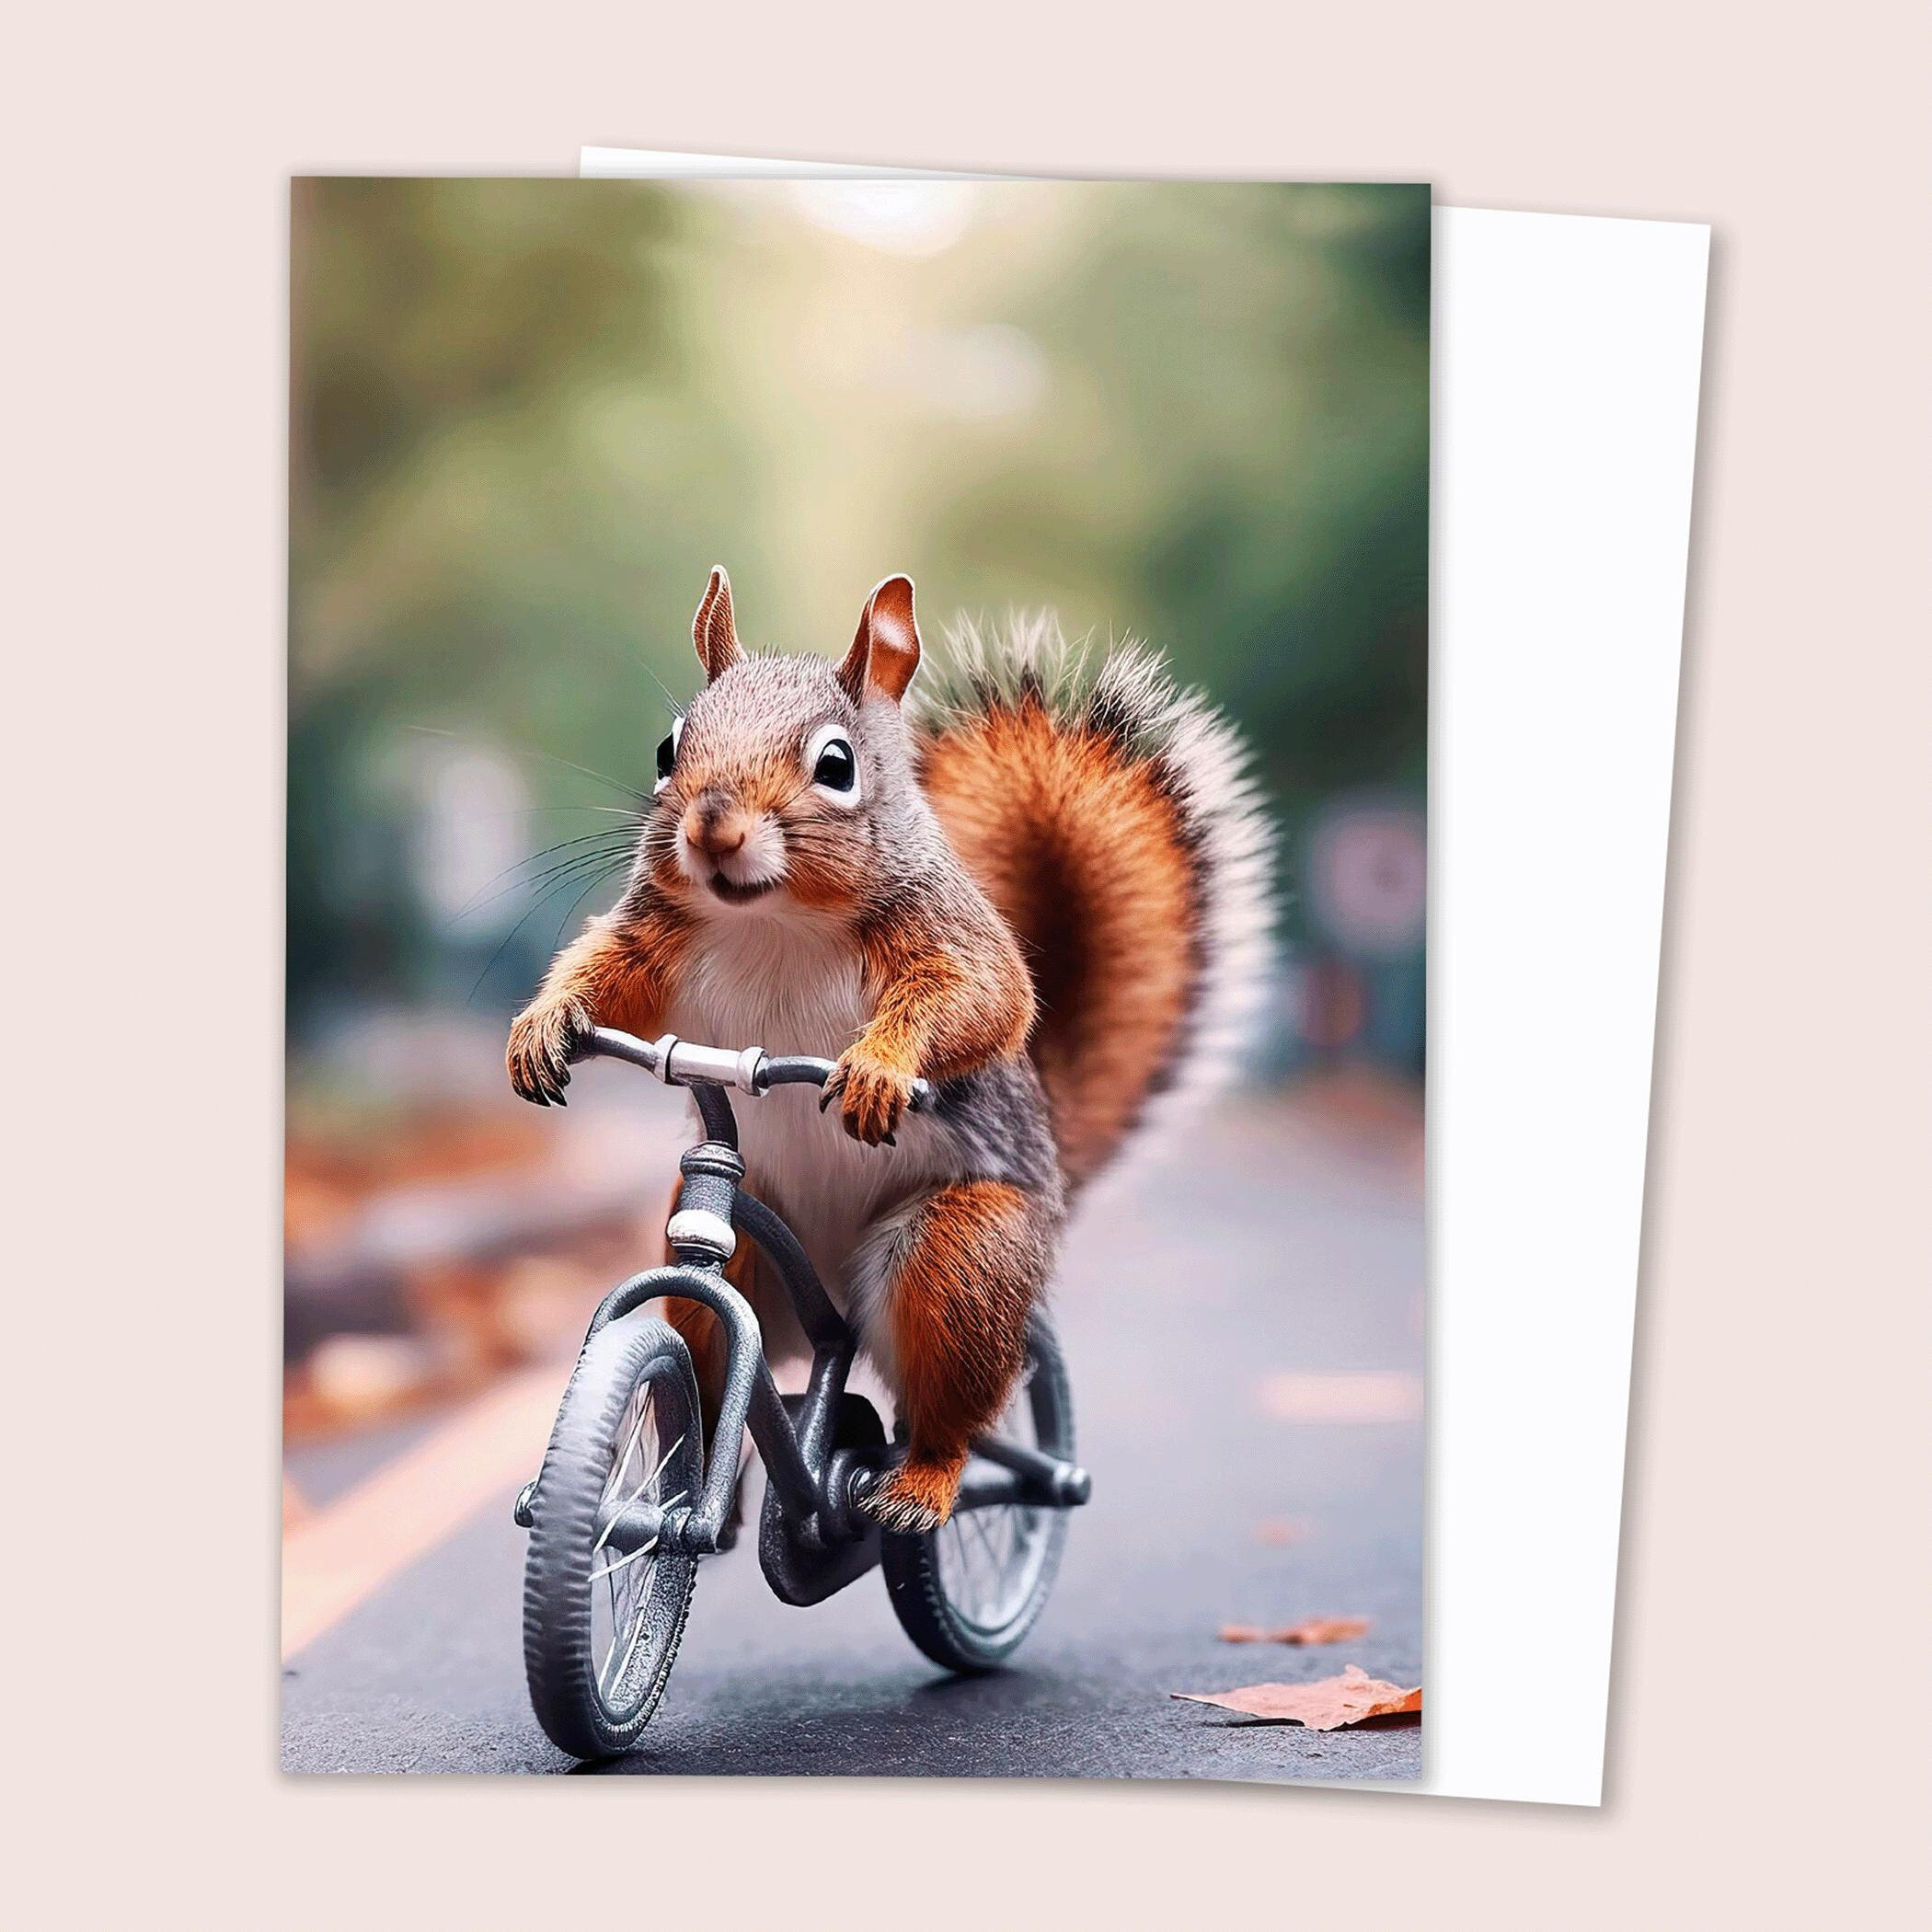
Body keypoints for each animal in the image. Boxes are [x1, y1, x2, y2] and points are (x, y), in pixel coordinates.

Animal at [508, 567, 1269, 1533]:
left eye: (837, 766)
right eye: (666, 749)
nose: (714, 829)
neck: (775, 919)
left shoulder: (940, 930)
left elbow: (990, 997)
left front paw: (881, 1066)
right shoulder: (657, 936)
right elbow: (608, 972)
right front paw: (541, 1027)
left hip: (961, 1257)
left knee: (951, 1415)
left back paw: (922, 1486)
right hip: (751, 1246)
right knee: (713, 1351)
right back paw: (691, 1468)